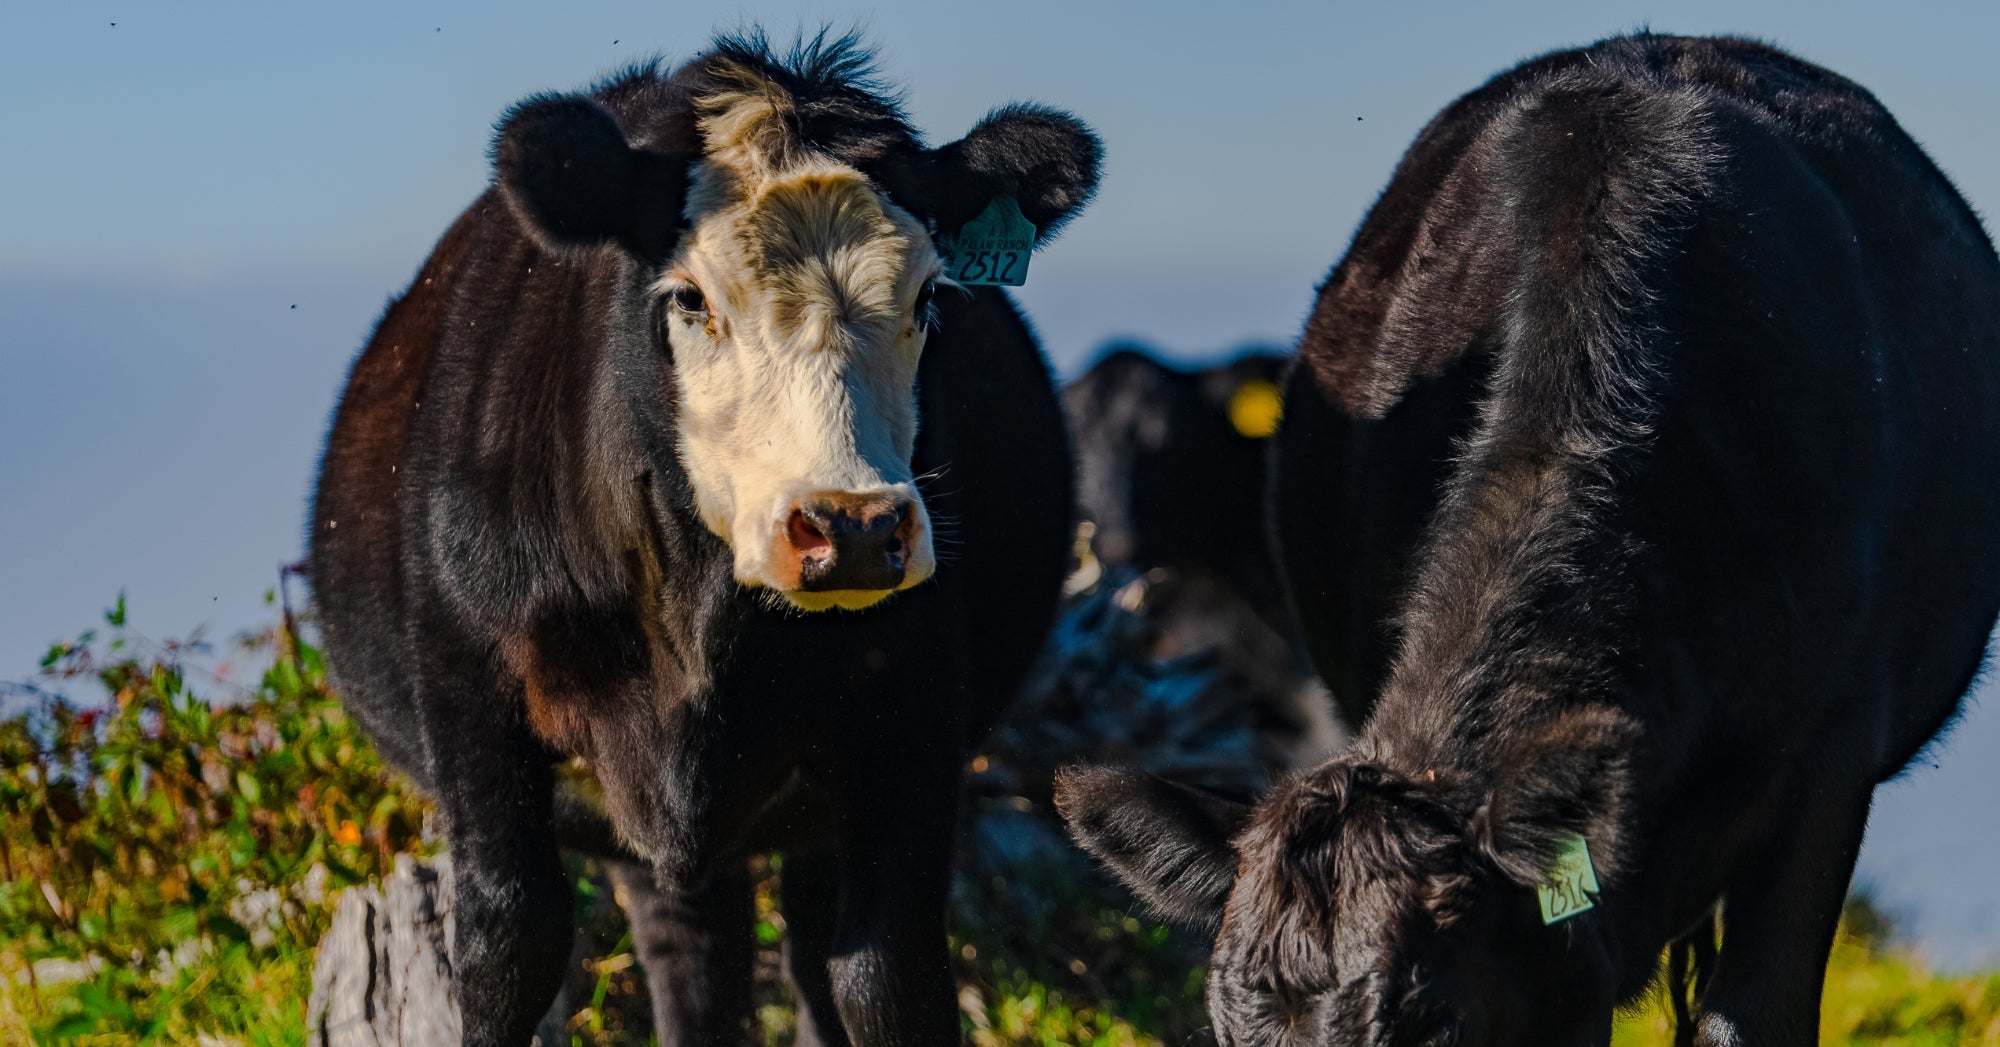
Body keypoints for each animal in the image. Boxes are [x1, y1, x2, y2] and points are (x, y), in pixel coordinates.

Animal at [309, 31, 1099, 1046]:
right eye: (688, 298)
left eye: (929, 296)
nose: (853, 526)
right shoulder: (468, 690)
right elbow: (505, 947)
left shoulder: (915, 704)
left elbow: (888, 974)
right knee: (692, 952)